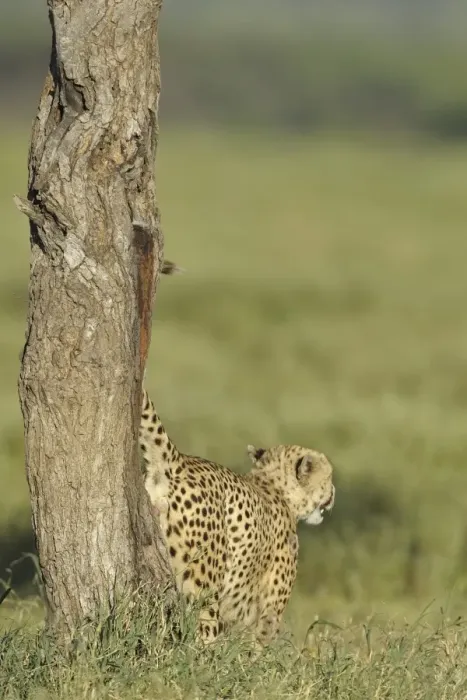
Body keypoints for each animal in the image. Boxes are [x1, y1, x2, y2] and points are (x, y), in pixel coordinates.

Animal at [139, 389, 335, 646]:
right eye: (329, 476)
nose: (334, 493)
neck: (272, 485)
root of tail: (179, 461)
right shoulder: (267, 608)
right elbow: (259, 642)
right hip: (204, 583)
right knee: (202, 627)